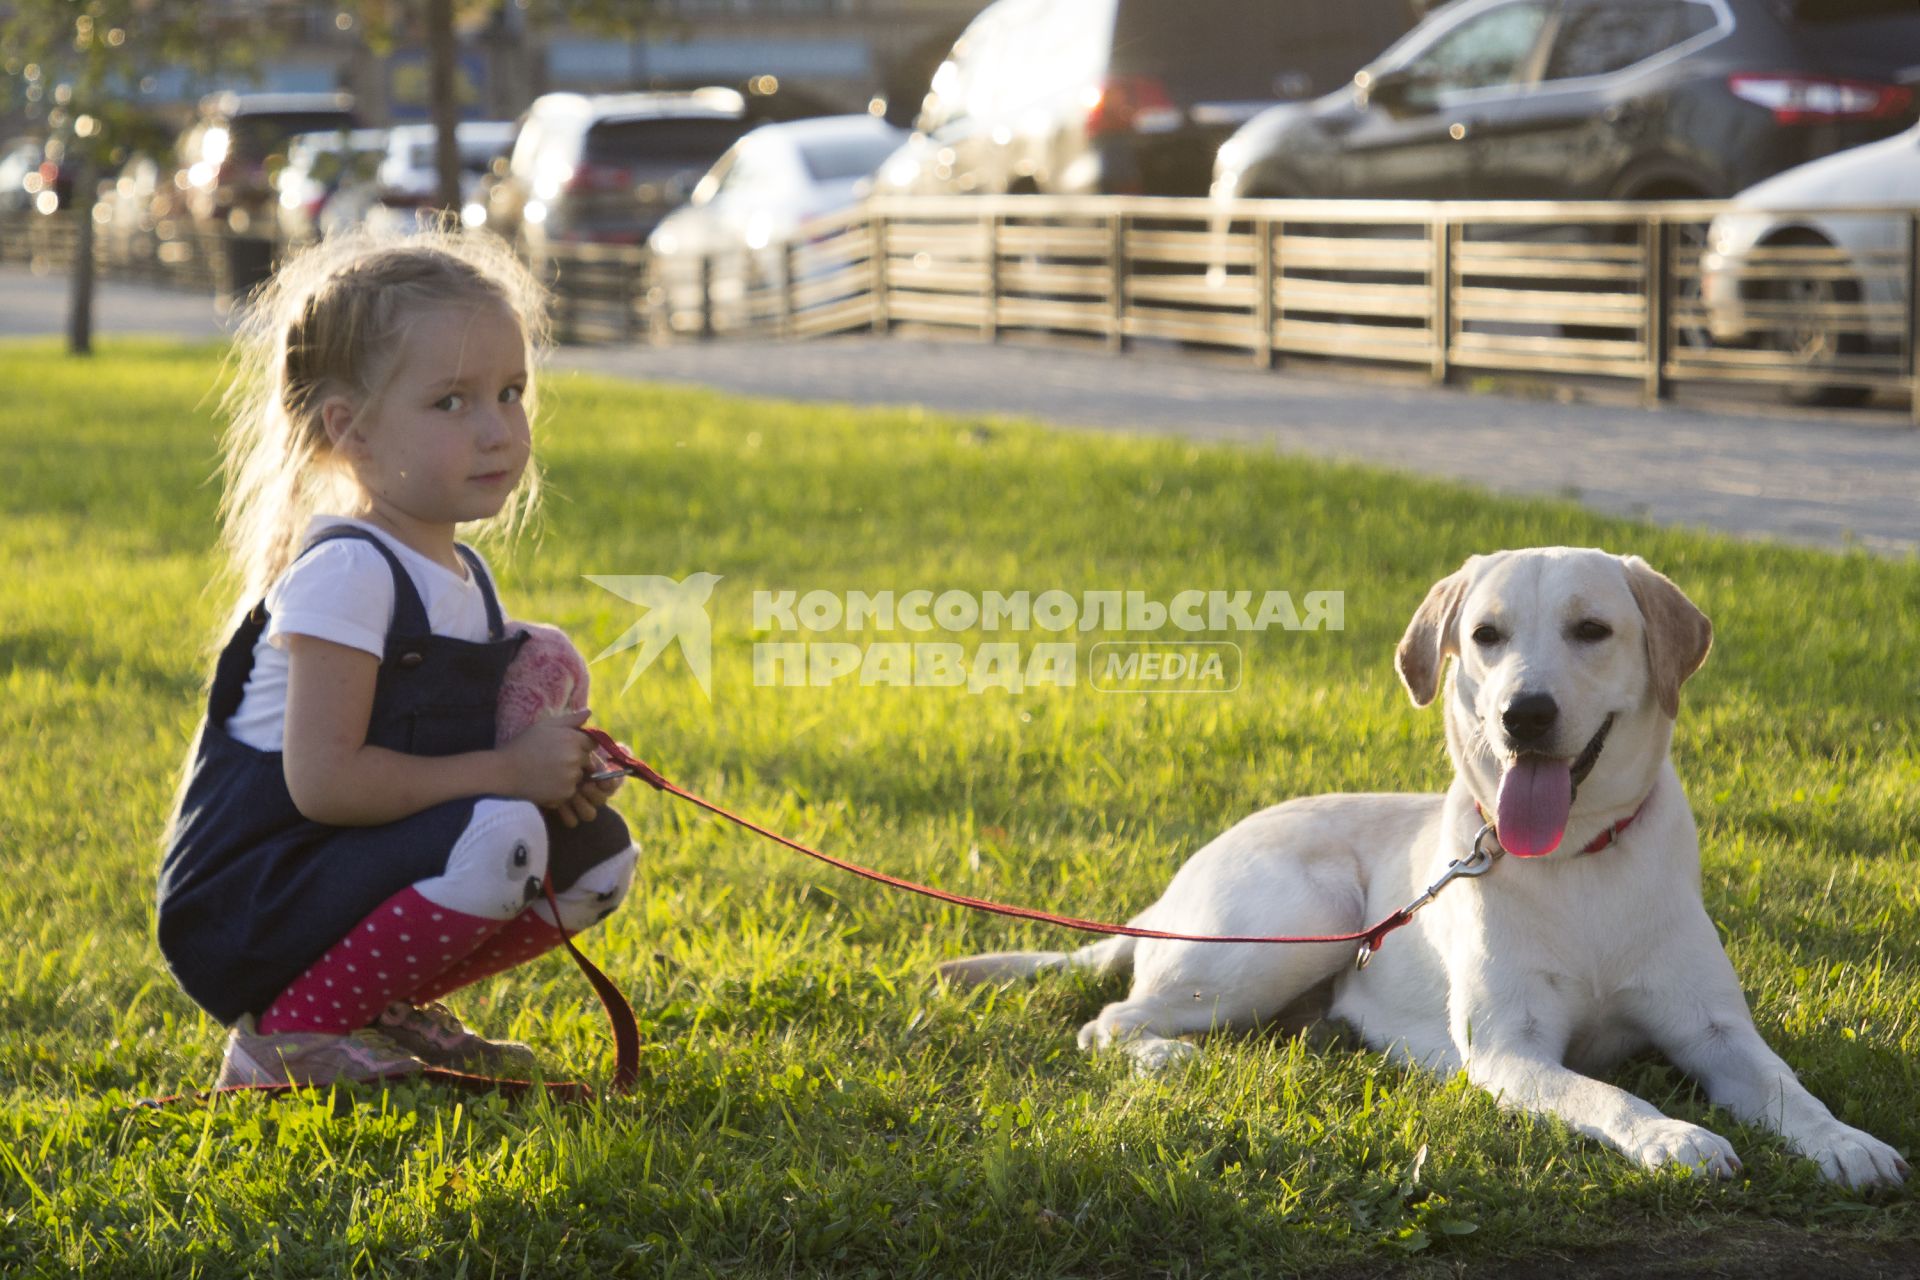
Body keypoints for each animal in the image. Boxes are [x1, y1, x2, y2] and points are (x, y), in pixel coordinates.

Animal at [940, 545, 1904, 1189]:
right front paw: (1675, 1138)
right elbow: (1606, 1096)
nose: (1524, 713)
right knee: (1108, 1023)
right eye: (1485, 636)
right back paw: (1171, 1059)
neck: (1579, 860)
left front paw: (1847, 1142)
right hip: (1300, 920)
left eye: (1592, 630)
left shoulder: (1716, 1032)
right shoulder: (1513, 1050)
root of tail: (1169, 888)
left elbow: (1790, 1090)